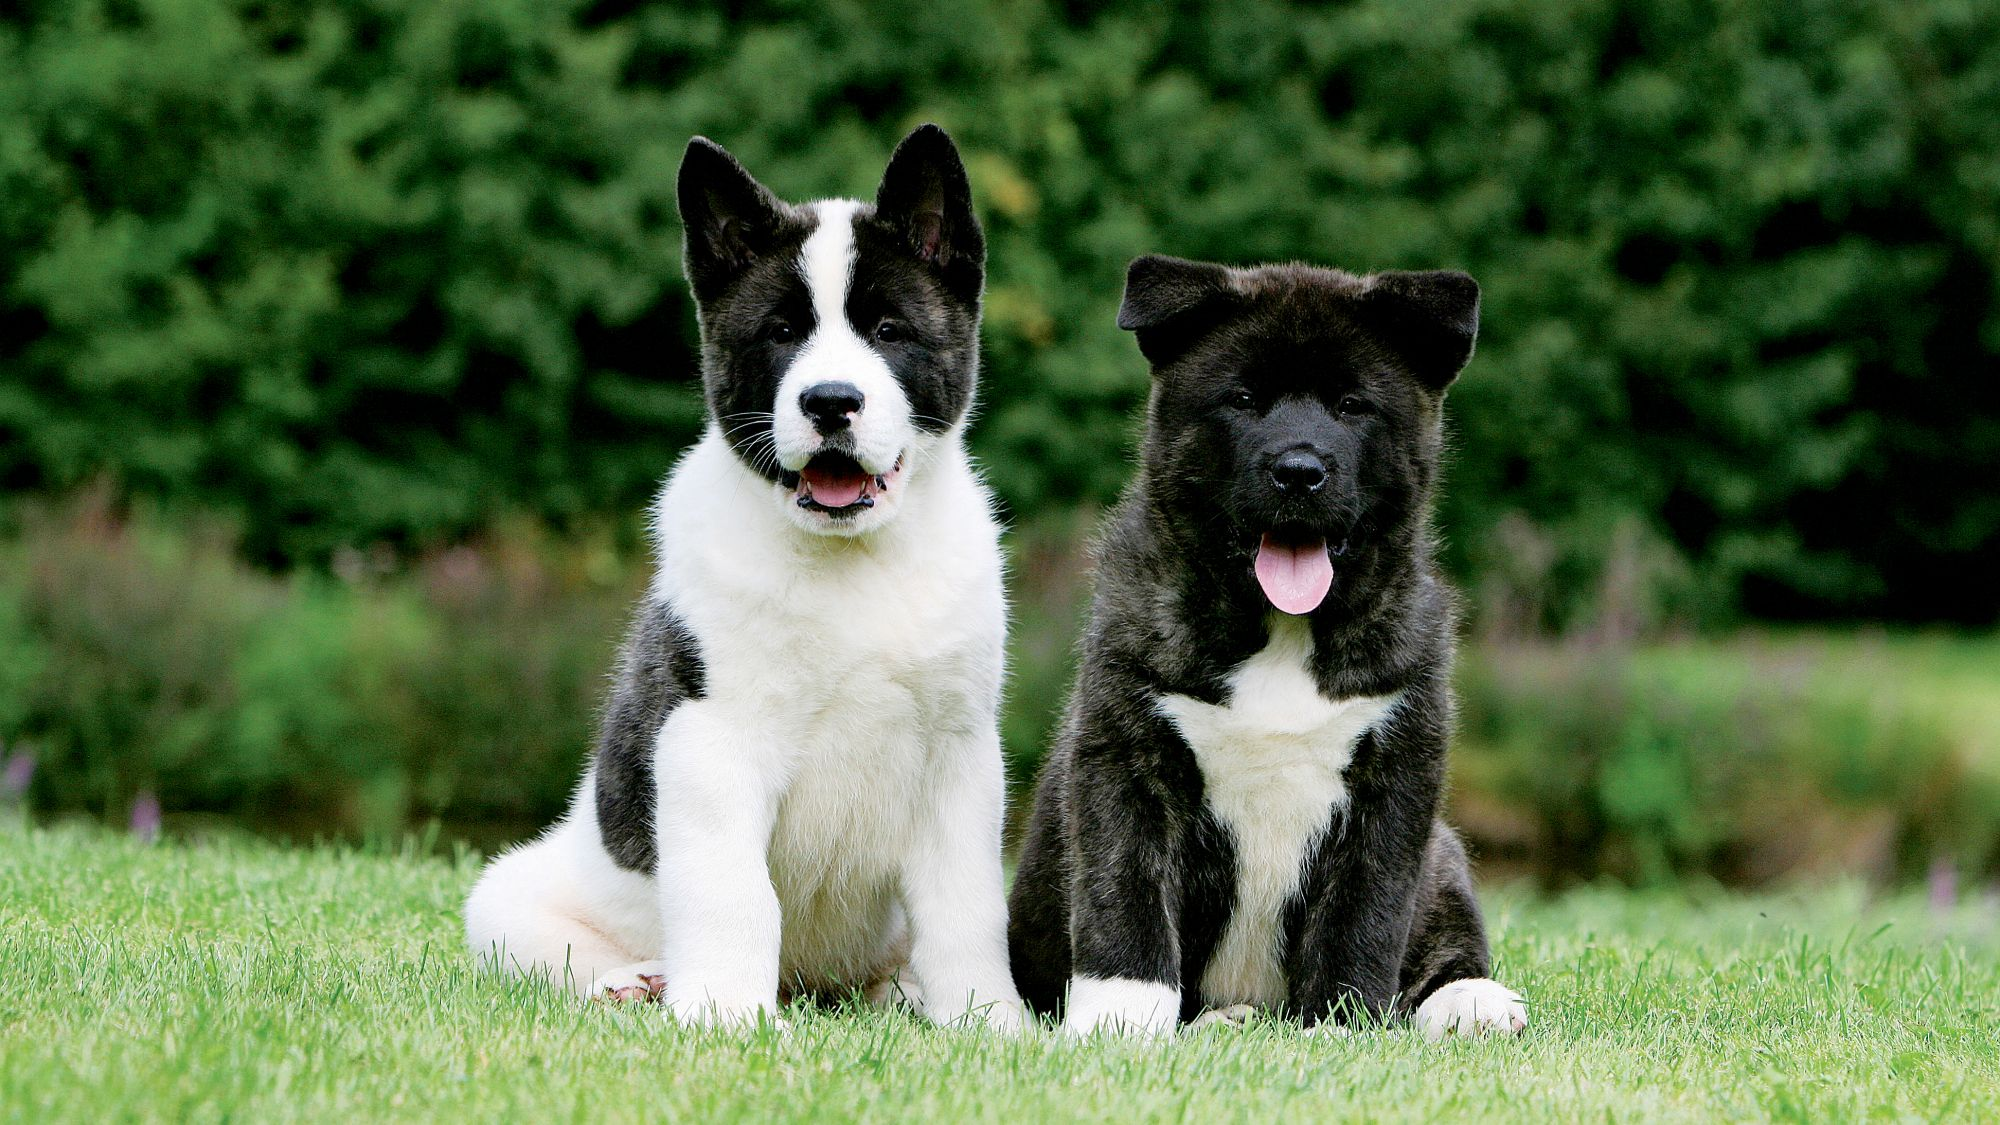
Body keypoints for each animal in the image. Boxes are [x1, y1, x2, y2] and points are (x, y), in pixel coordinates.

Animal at [462, 127, 1024, 1032]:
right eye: (781, 332)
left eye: (889, 328)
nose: (831, 401)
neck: (852, 561)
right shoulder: (710, 740)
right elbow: (733, 892)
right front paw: (725, 1012)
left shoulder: (960, 755)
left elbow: (967, 903)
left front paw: (987, 1018)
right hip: (507, 893)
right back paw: (638, 983)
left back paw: (901, 994)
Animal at [1000, 252, 1528, 1032]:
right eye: (1243, 399)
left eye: (1352, 405)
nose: (1299, 471)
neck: (1281, 634)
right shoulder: (1126, 757)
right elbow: (1125, 901)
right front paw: (1119, 1022)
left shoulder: (1396, 778)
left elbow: (1362, 919)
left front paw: (1340, 1023)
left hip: (1443, 851)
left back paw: (1471, 999)